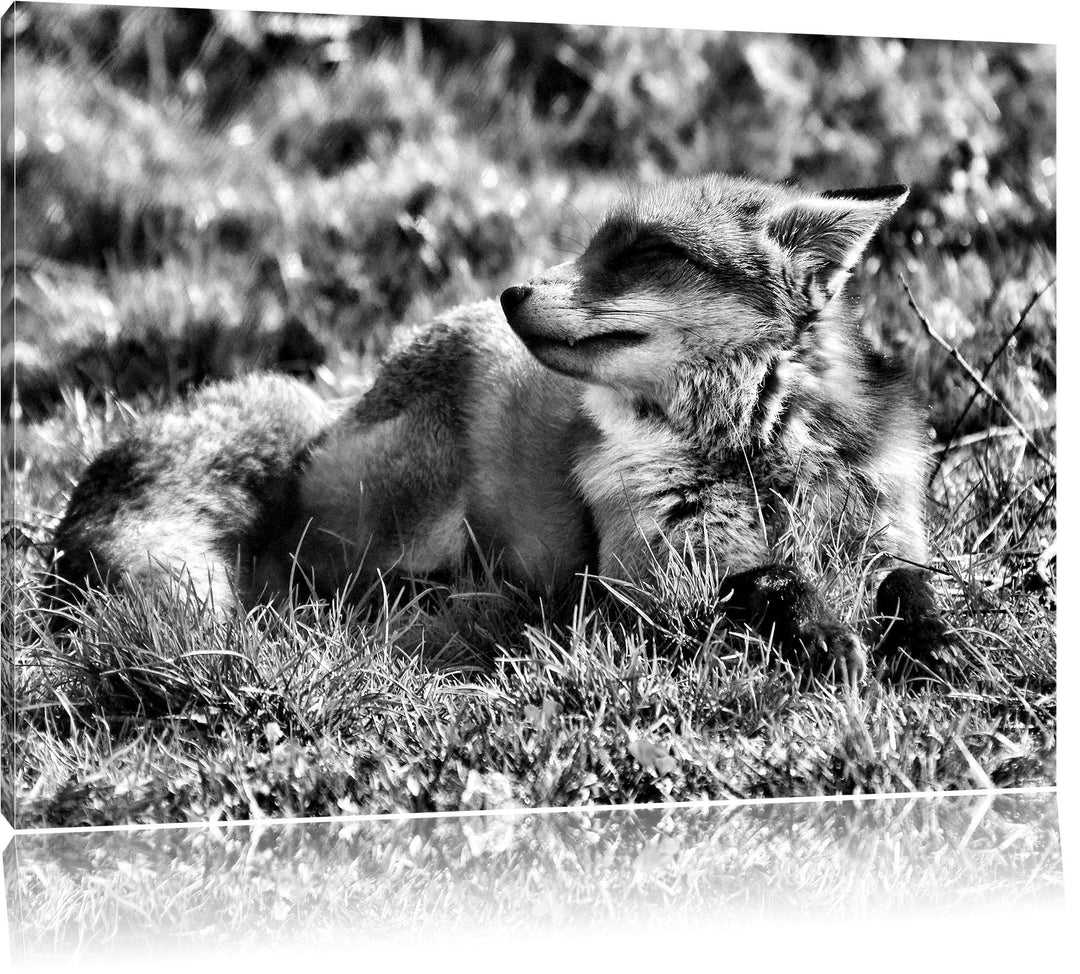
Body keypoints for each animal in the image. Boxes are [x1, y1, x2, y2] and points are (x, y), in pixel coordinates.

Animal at [49, 173, 949, 681]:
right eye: (591, 244)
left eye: (642, 254)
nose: (514, 291)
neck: (756, 459)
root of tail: (335, 408)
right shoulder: (650, 572)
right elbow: (769, 581)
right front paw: (825, 636)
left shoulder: (887, 525)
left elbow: (910, 586)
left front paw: (937, 644)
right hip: (410, 512)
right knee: (315, 584)